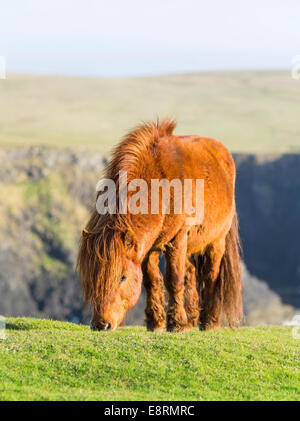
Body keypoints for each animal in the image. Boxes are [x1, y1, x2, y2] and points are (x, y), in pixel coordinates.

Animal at [76, 118, 243, 332]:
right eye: (91, 276)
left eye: (122, 277)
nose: (101, 324)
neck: (159, 187)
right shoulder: (148, 248)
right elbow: (152, 281)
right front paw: (156, 322)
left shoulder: (177, 239)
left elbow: (174, 280)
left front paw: (176, 324)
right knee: (191, 272)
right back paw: (192, 319)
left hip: (216, 241)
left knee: (210, 276)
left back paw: (209, 322)